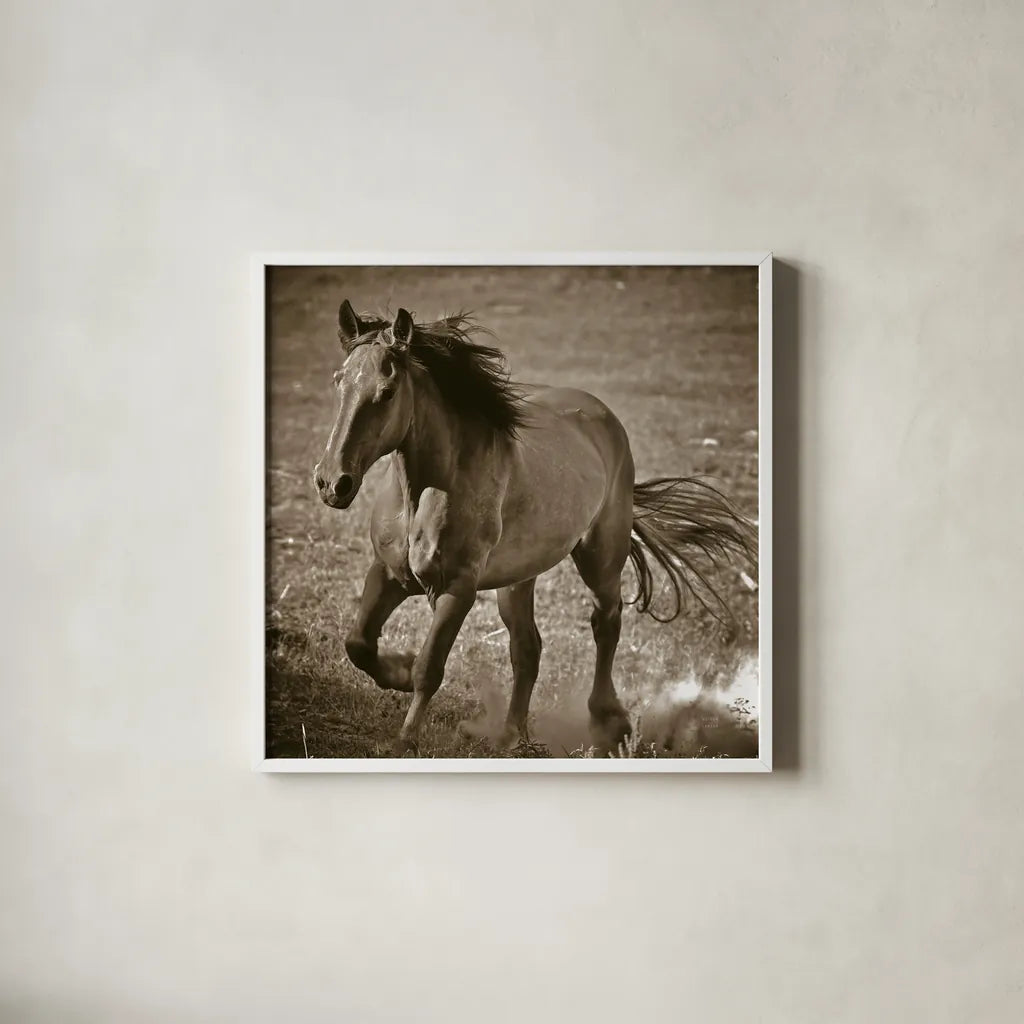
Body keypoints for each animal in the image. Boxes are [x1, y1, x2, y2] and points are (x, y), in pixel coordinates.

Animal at [313, 299, 756, 756]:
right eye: (338, 382)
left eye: (387, 392)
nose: (332, 483)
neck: (427, 489)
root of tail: (604, 418)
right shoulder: (388, 573)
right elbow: (359, 643)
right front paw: (397, 671)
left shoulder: (458, 589)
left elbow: (429, 668)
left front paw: (405, 739)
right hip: (517, 579)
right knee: (528, 647)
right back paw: (511, 736)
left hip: (600, 558)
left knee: (605, 623)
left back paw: (607, 723)